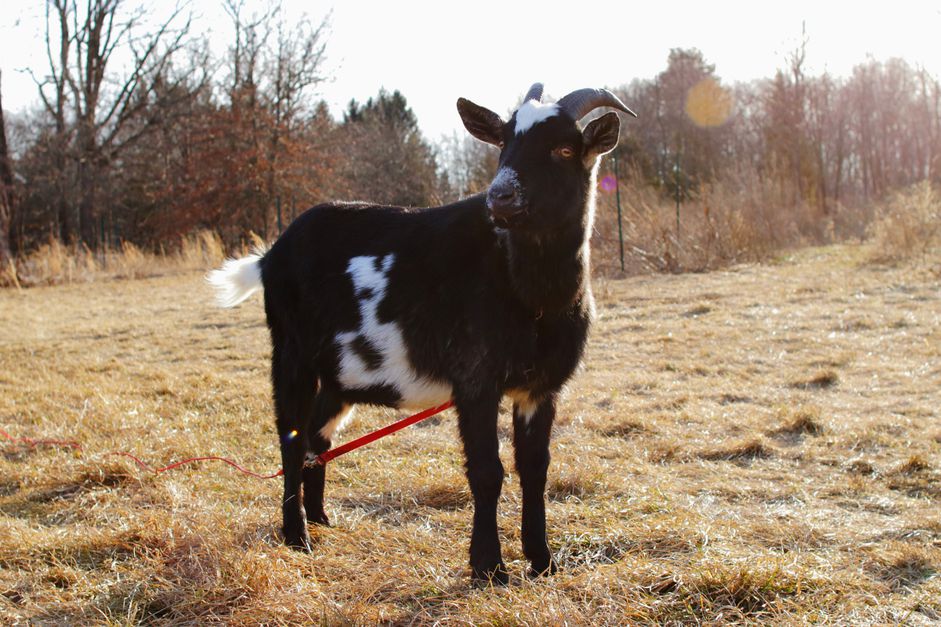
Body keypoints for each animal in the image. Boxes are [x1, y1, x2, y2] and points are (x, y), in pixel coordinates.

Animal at [209, 83, 636, 584]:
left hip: (338, 375)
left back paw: (320, 518)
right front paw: (489, 568)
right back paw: (297, 537)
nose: (500, 198)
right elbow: (487, 471)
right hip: (290, 353)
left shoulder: (541, 388)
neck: (531, 293)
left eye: (564, 149)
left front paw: (542, 561)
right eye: (503, 145)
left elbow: (535, 470)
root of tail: (270, 256)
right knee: (291, 439)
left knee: (317, 436)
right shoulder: (476, 381)